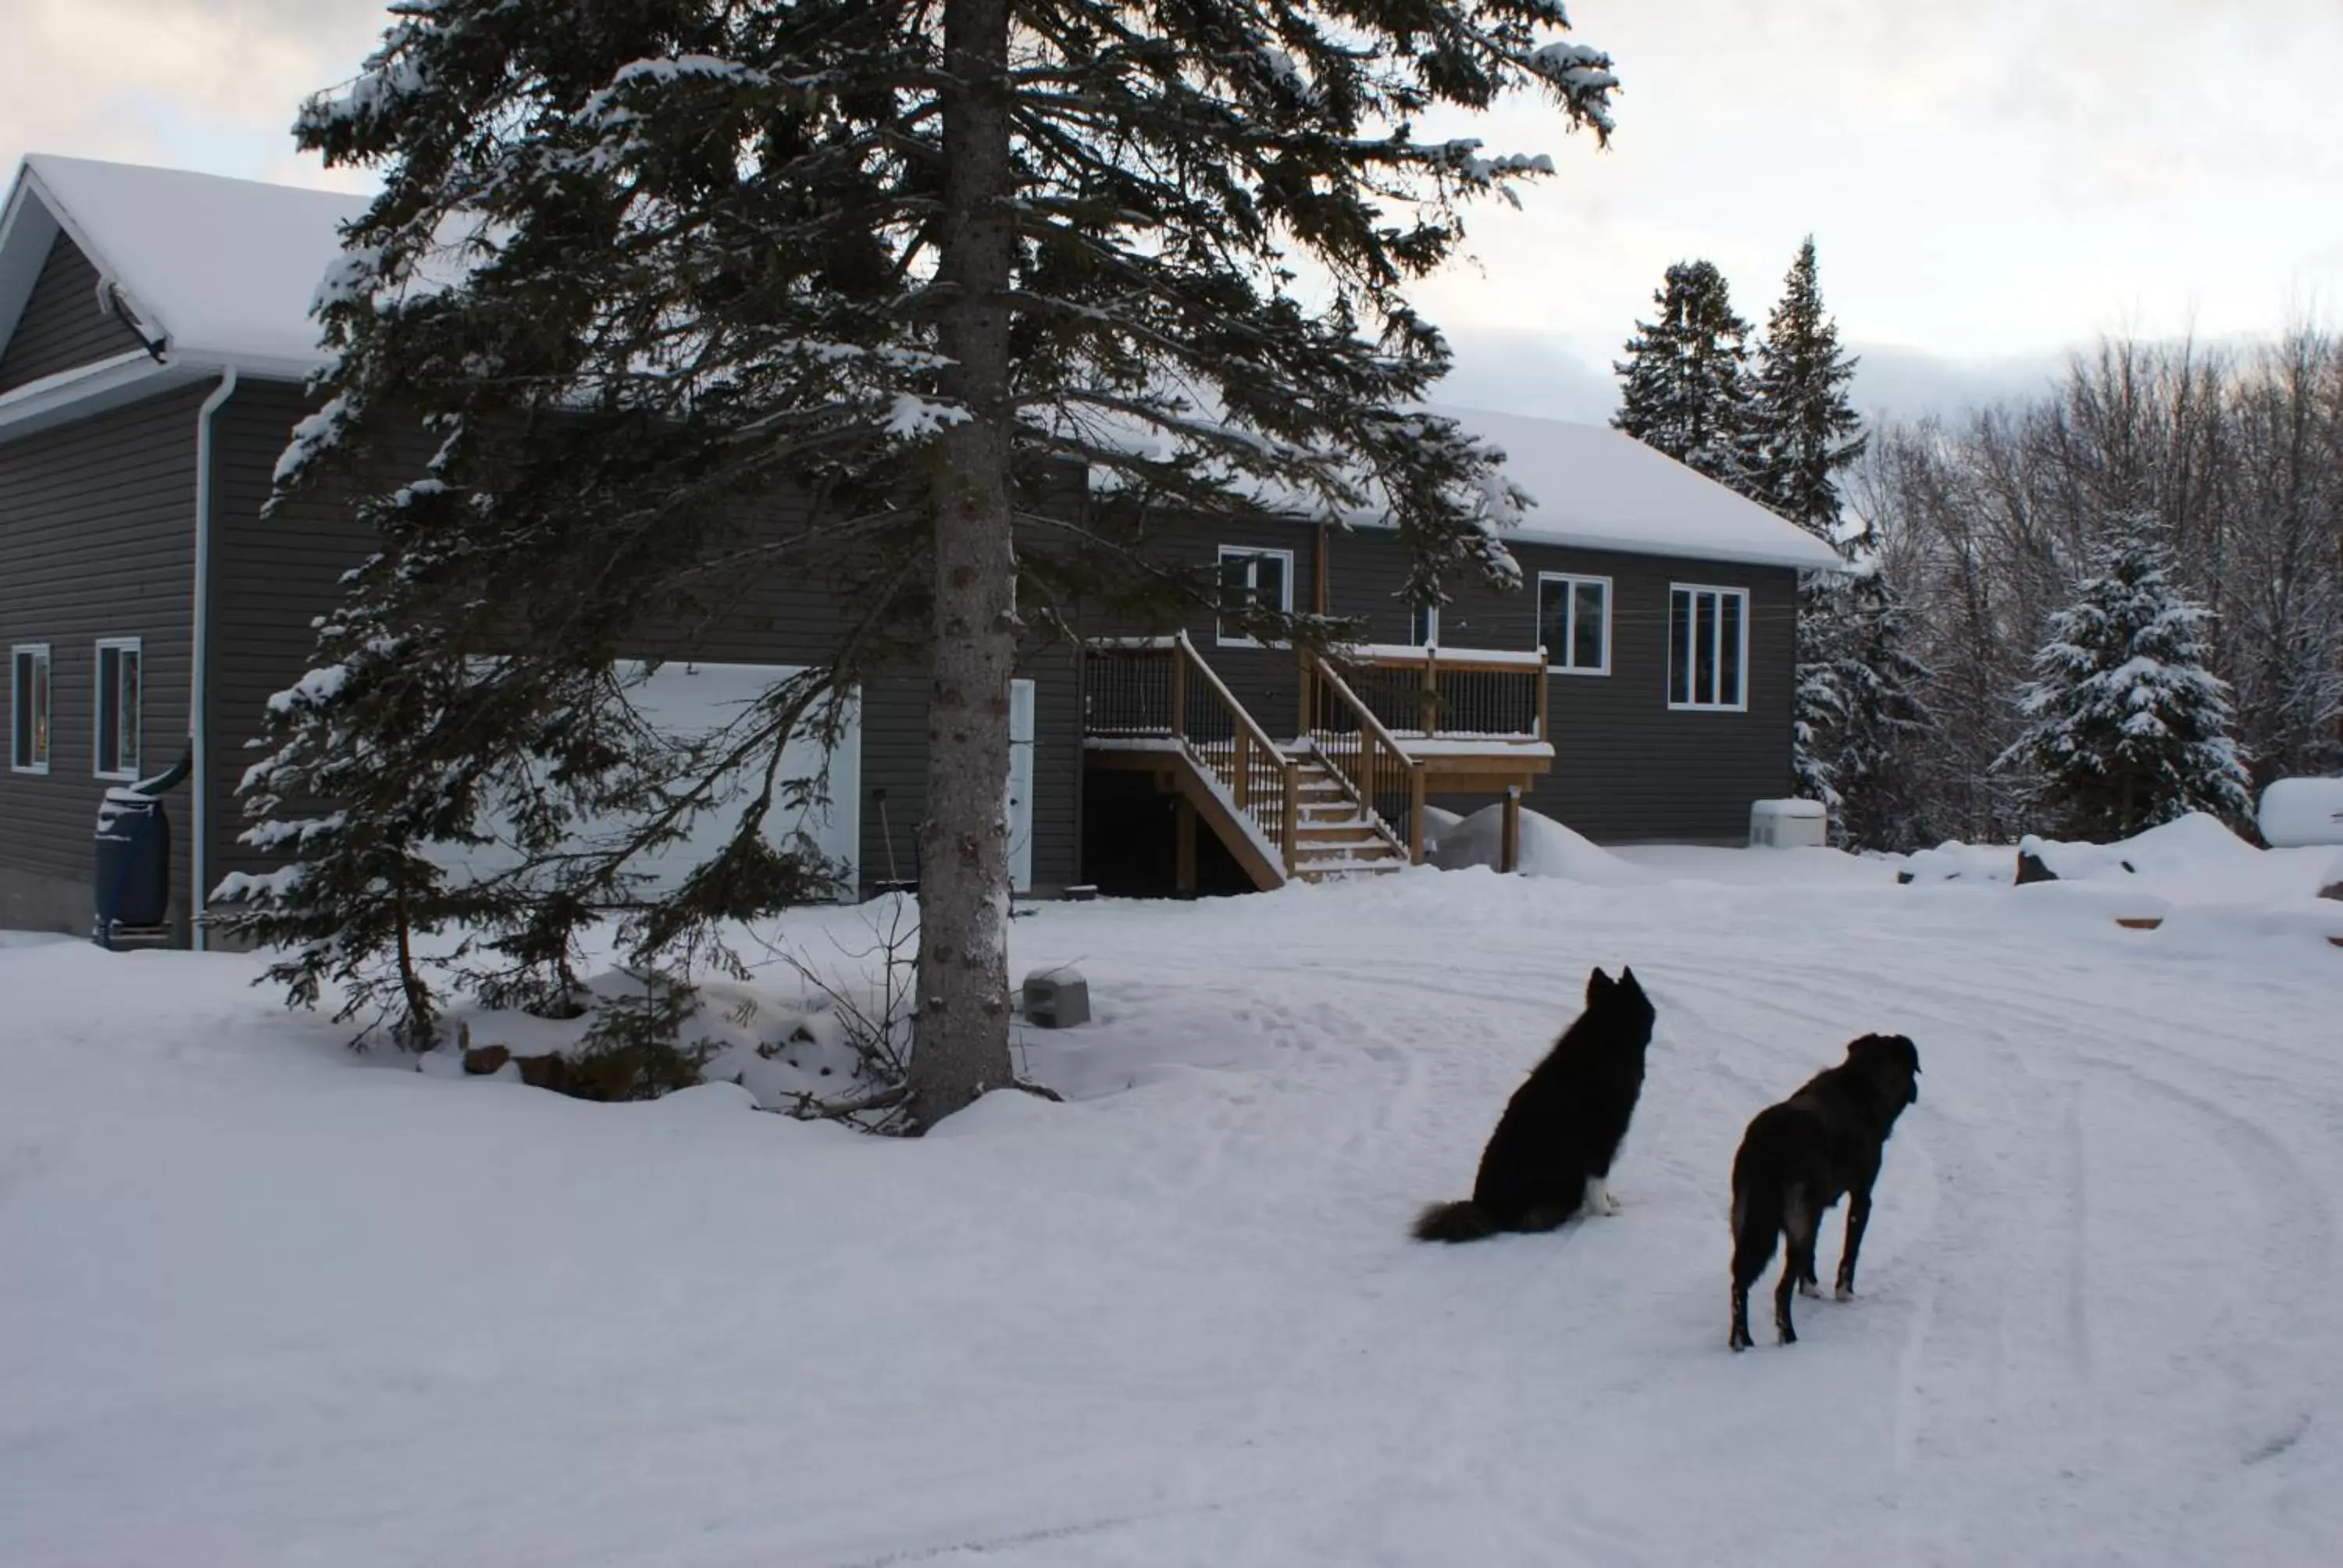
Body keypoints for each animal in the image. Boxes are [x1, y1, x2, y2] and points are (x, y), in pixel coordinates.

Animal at [1724, 1031, 1921, 1349]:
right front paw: (1844, 1294)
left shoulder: (1815, 1209)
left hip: (1749, 1218)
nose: (1916, 1091)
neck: (1862, 1082)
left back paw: (1741, 1342)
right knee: (1780, 1290)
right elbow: (1850, 1252)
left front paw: (1811, 1288)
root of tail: (1768, 1147)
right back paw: (1789, 1337)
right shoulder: (1861, 1196)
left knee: (1738, 1283)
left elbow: (1812, 1252)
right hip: (1794, 1219)